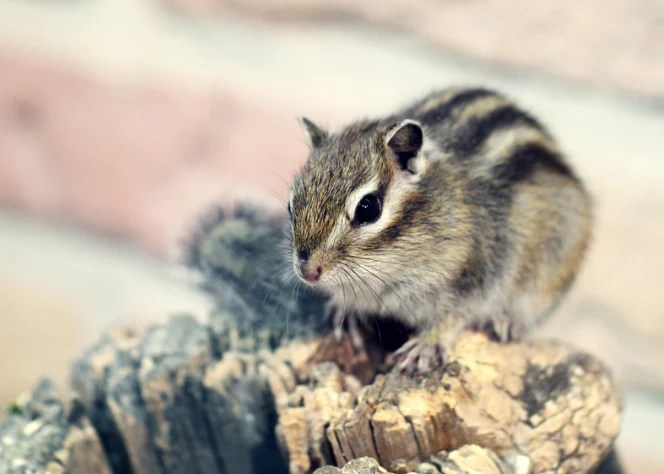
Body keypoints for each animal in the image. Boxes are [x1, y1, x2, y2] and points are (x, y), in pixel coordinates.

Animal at [288, 87, 593, 373]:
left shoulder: (476, 274)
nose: (307, 271)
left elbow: (454, 315)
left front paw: (426, 344)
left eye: (368, 208)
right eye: (292, 203)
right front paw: (345, 310)